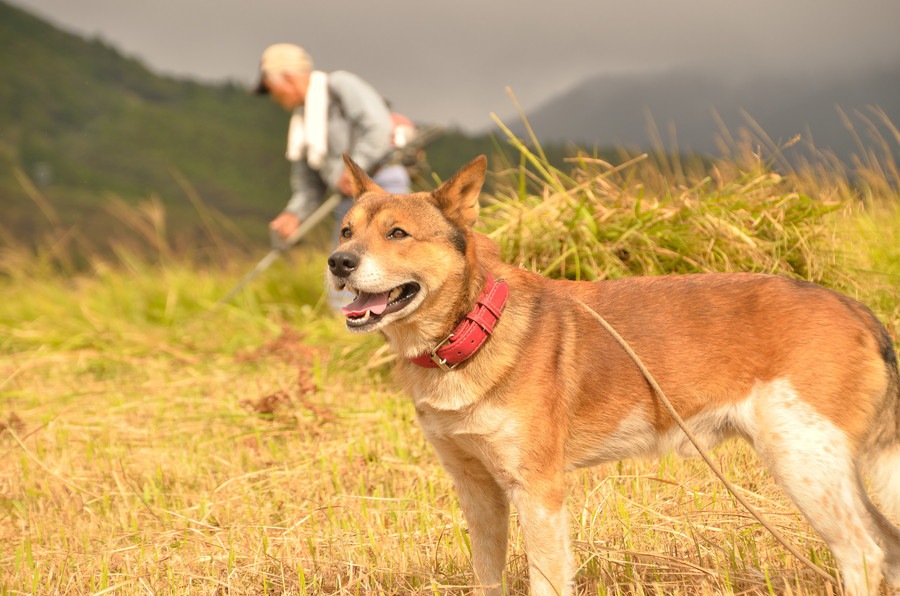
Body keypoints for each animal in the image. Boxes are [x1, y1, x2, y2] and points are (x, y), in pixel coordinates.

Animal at [326, 155, 900, 596]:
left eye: (398, 233)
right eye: (346, 231)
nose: (337, 262)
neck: (472, 331)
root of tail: (858, 311)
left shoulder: (538, 492)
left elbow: (546, 581)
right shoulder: (478, 491)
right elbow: (487, 579)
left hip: (803, 464)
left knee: (864, 554)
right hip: (833, 470)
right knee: (888, 548)